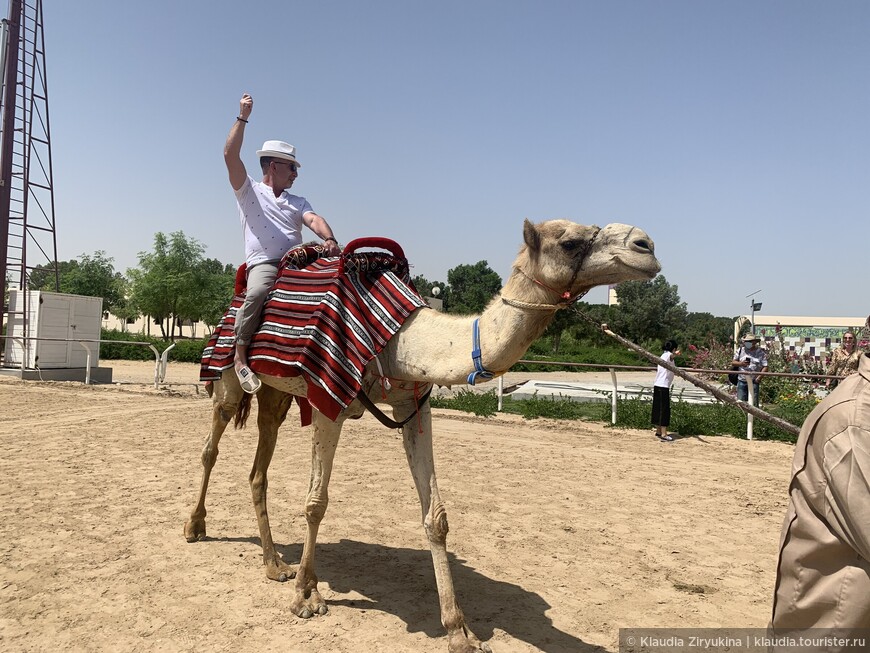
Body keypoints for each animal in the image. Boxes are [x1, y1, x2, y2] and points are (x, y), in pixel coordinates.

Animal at [186, 220, 660, 652]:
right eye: (571, 241)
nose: (647, 246)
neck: (401, 339)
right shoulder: (328, 401)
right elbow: (316, 503)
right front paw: (306, 596)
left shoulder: (411, 406)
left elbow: (436, 517)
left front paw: (460, 631)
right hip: (229, 380)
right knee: (211, 446)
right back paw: (196, 527)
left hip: (277, 394)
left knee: (258, 470)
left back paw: (274, 565)